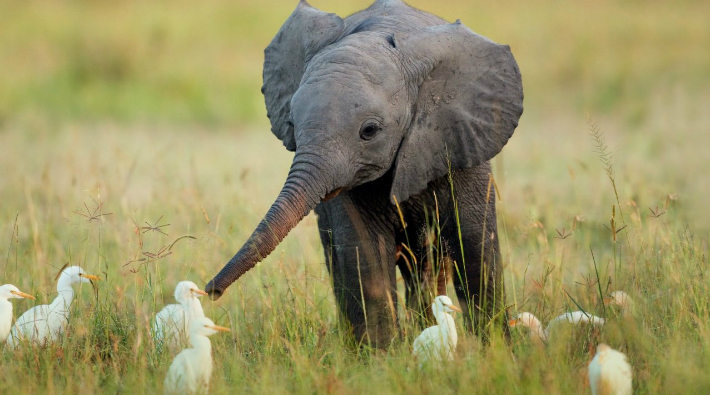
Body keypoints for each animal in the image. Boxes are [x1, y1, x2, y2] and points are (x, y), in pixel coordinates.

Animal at [206, 0, 524, 346]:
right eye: (291, 123)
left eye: (369, 131)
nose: (210, 291)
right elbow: (364, 252)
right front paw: (381, 356)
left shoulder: (461, 141)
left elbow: (475, 245)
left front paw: (497, 349)